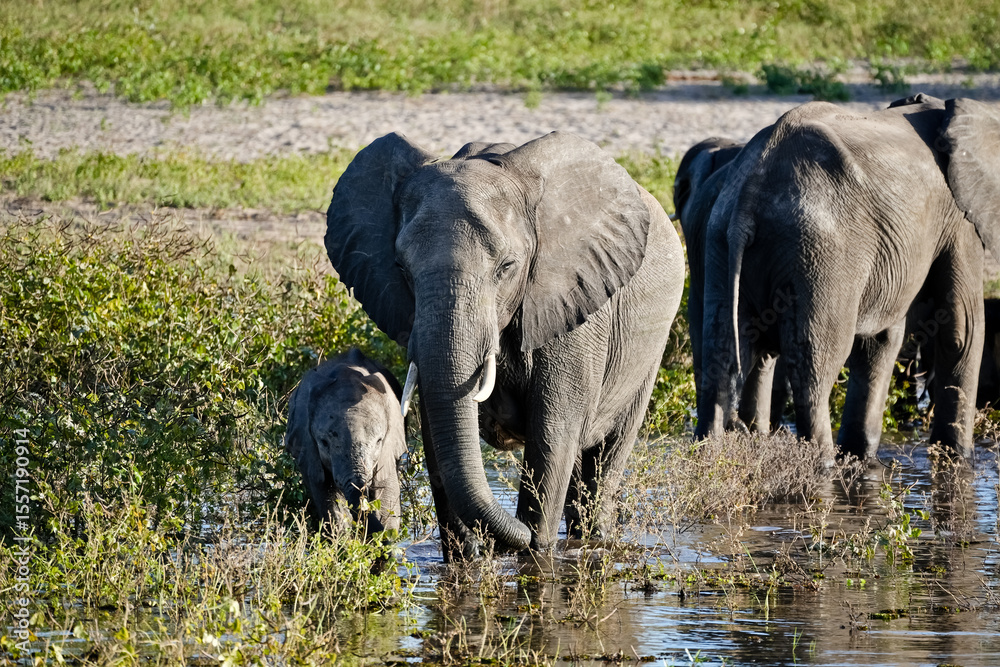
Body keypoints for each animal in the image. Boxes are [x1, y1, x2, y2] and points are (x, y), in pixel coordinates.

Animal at [325, 131, 685, 557]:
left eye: (507, 268)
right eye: (401, 269)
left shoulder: (575, 305)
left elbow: (552, 436)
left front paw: (536, 550)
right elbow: (437, 441)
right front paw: (466, 562)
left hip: (649, 349)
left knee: (602, 463)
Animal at [696, 93, 1000, 459]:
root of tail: (749, 195)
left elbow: (879, 339)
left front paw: (859, 457)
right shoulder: (958, 216)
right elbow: (961, 328)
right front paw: (957, 459)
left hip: (720, 240)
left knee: (720, 356)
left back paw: (708, 454)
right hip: (821, 253)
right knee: (813, 368)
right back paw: (822, 463)